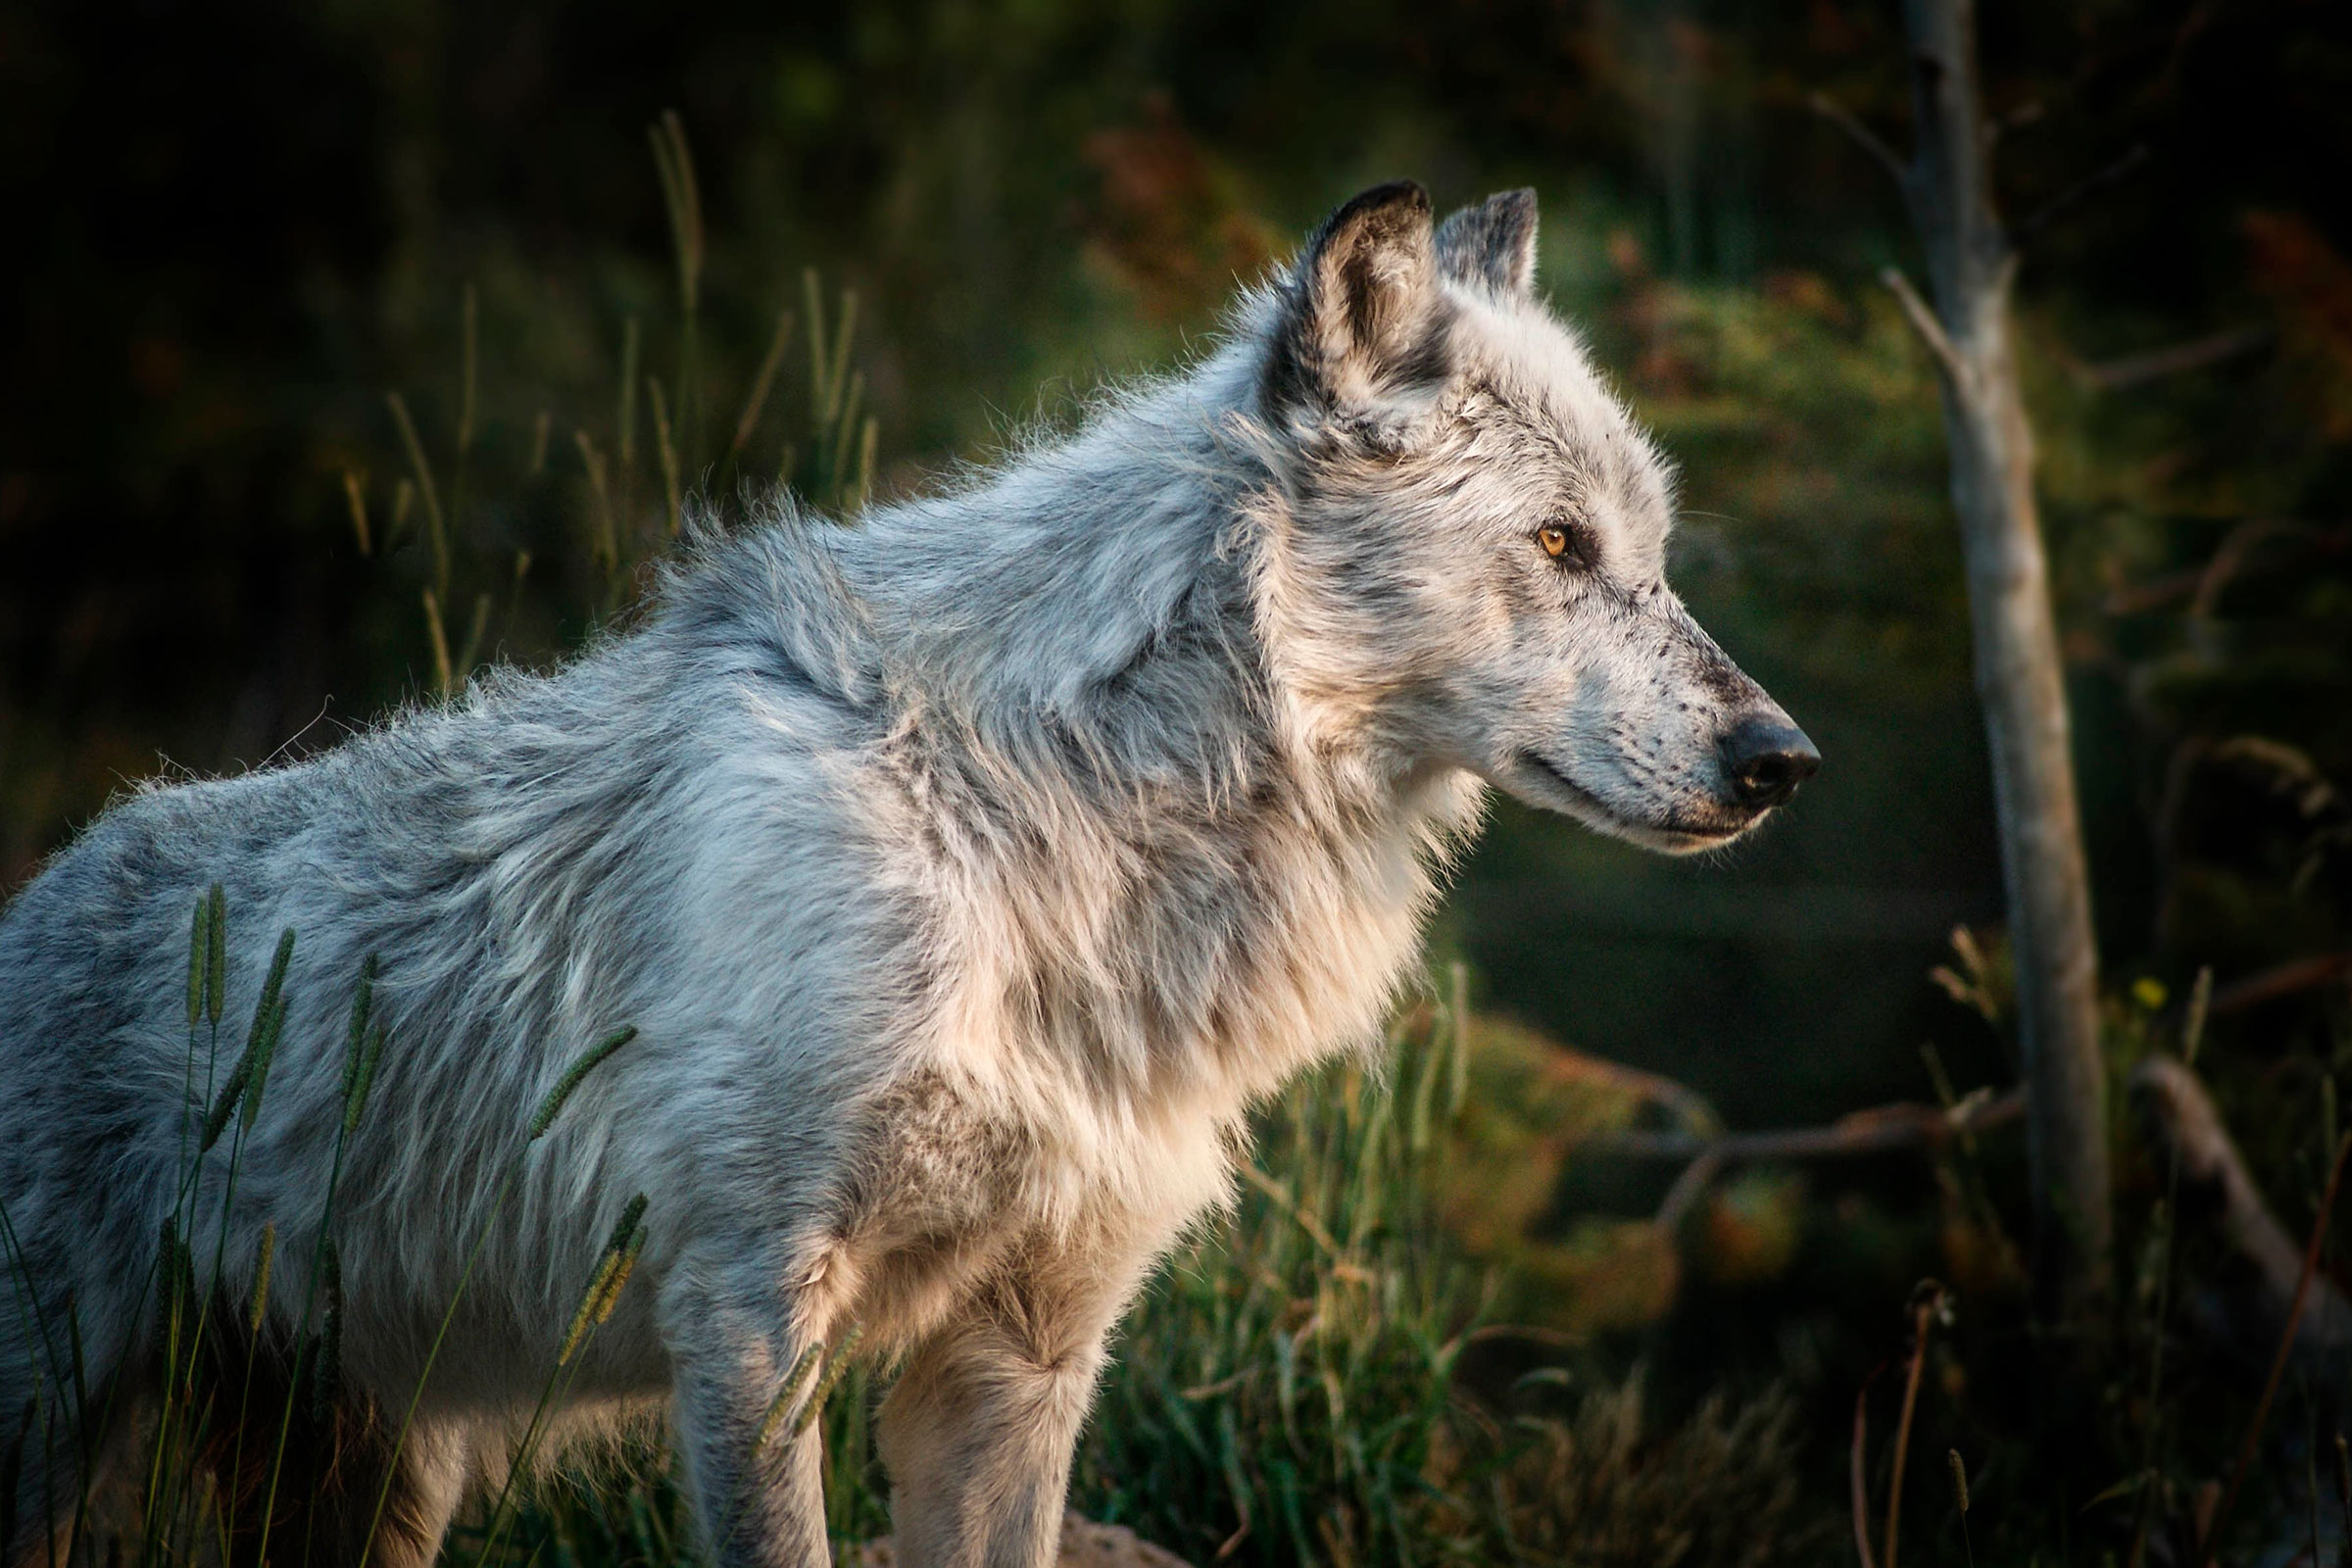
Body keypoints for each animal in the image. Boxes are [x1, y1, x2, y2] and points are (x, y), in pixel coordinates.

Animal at [0, 183, 1815, 1568]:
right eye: (1561, 548)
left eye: (1652, 555)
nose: (1781, 760)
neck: (1050, 829)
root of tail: (40, 889)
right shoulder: (748, 1313)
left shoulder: (1020, 1357)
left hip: (376, 1483)